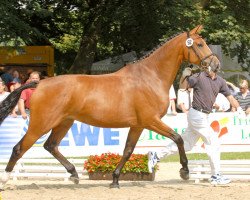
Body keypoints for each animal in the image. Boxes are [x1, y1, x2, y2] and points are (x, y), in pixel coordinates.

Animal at [0, 25, 219, 189]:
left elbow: (128, 150)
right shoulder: (151, 120)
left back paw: (74, 174)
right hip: (41, 124)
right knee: (19, 148)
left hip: (64, 122)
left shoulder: (138, 125)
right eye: (200, 44)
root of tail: (39, 84)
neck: (150, 77)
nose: (215, 65)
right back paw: (5, 179)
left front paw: (114, 180)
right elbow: (178, 138)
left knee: (50, 146)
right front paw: (185, 171)